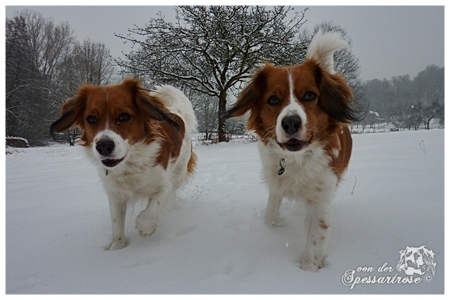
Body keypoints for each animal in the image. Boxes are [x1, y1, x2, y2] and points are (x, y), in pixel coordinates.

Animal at [50, 78, 196, 250]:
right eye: (91, 119)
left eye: (124, 116)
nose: (104, 146)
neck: (129, 164)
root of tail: (175, 112)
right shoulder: (115, 194)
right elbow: (117, 223)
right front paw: (117, 247)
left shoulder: (163, 185)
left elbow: (155, 205)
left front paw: (145, 226)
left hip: (179, 172)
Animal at [225, 31, 362, 270]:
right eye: (273, 99)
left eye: (309, 95)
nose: (290, 123)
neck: (295, 159)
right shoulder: (276, 185)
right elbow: (270, 215)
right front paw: (272, 227)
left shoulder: (320, 199)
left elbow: (315, 240)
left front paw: (307, 269)